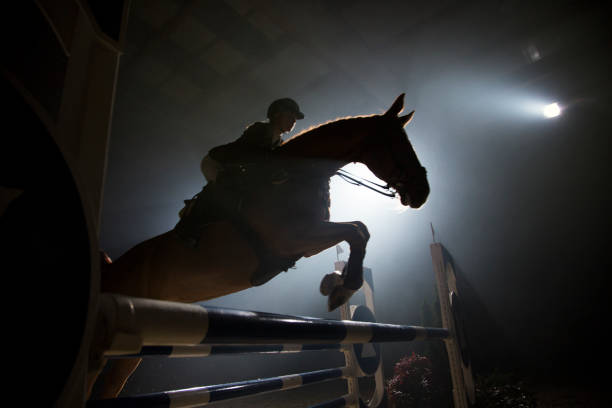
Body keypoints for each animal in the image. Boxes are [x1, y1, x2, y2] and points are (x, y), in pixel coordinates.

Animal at [89, 92, 430, 398]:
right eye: (396, 145)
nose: (422, 193)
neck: (295, 177)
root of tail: (111, 267)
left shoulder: (307, 242)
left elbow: (360, 230)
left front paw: (335, 283)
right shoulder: (295, 236)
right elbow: (356, 232)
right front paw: (341, 290)